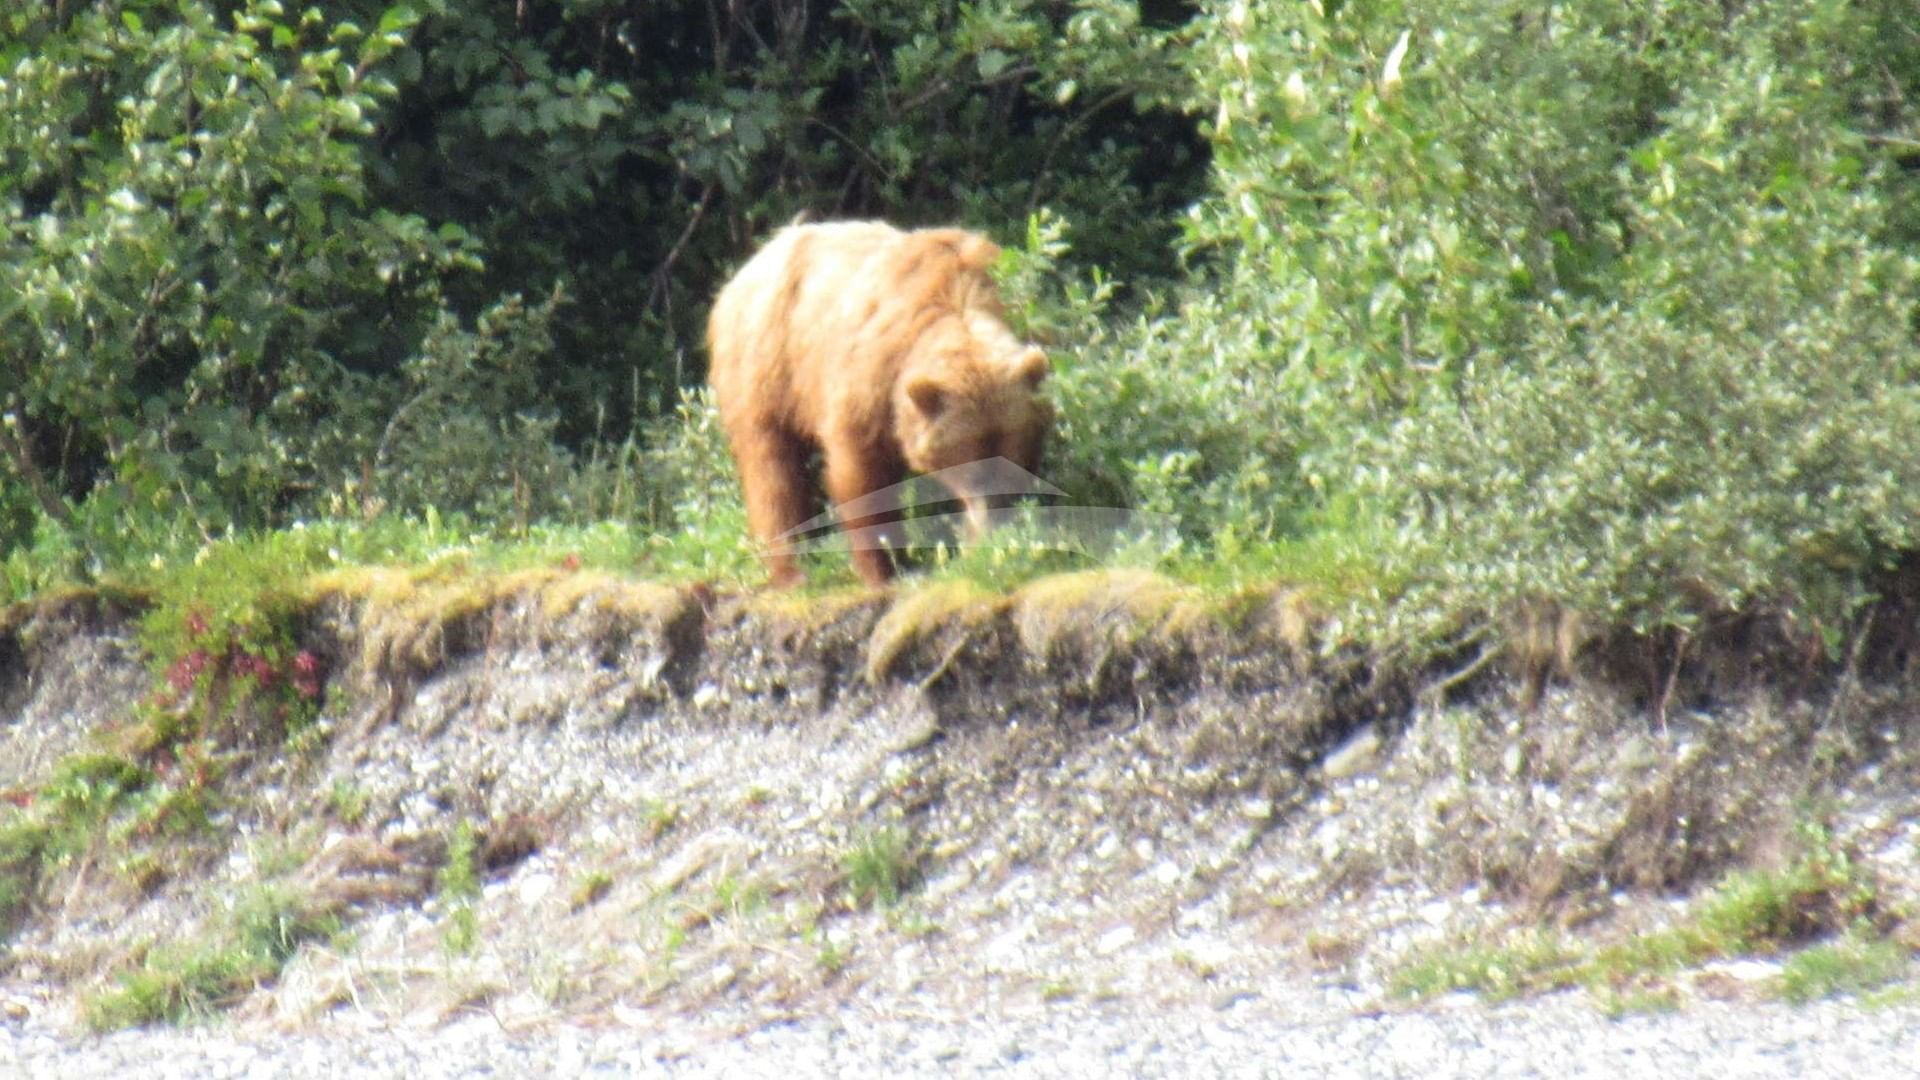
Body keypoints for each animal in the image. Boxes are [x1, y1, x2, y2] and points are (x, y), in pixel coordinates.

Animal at [706, 220, 1052, 587]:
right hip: (767, 364)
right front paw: (886, 569)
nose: (990, 532)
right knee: (773, 470)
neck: (959, 299)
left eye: (1010, 462)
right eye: (971, 470)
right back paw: (793, 570)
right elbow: (862, 474)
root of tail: (753, 261)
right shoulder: (872, 377)